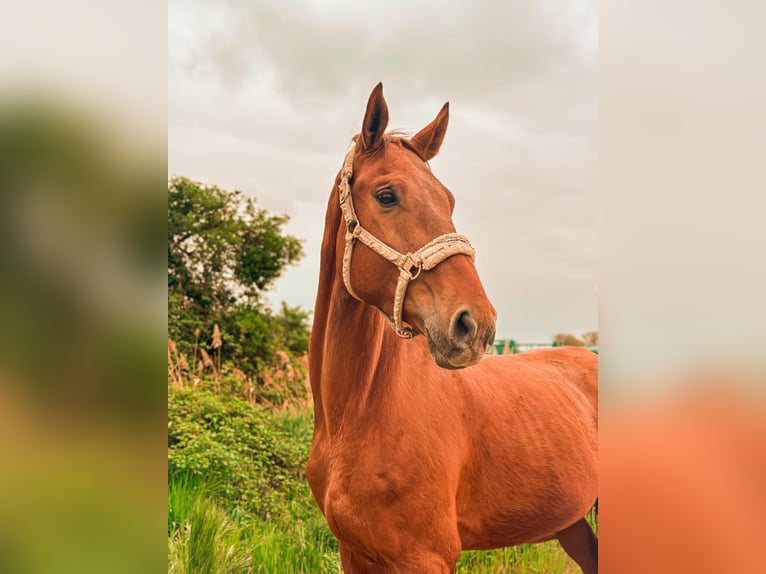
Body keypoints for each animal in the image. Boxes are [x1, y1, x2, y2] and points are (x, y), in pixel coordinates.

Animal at [306, 83, 598, 573]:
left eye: (449, 201)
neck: (358, 412)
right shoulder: (356, 554)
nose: (475, 325)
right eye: (387, 195)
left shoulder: (425, 557)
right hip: (574, 523)